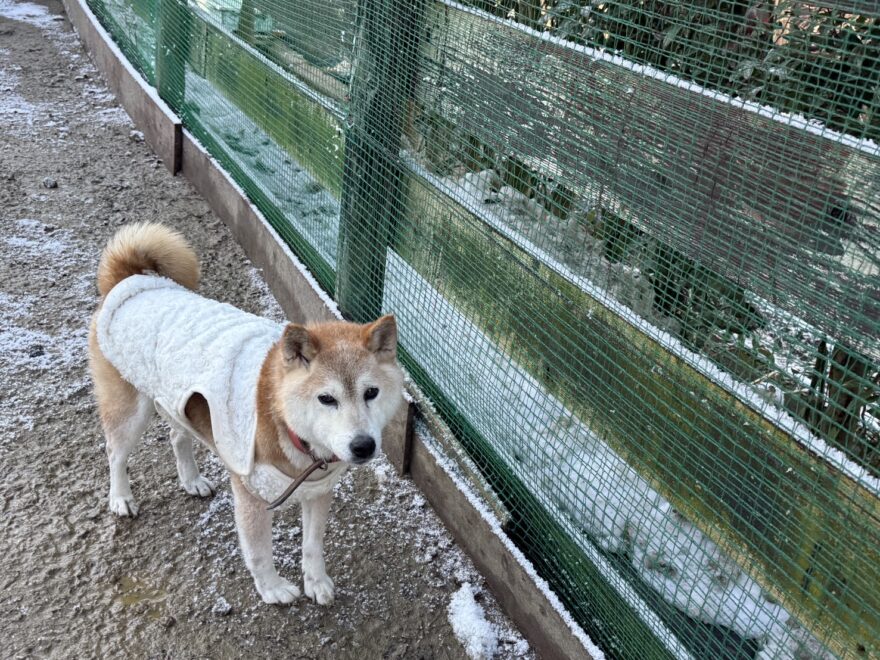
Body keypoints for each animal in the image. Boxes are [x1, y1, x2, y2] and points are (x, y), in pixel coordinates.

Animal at [88, 223, 404, 605]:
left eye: (371, 393)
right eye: (326, 399)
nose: (363, 446)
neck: (284, 422)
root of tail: (131, 280)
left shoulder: (318, 491)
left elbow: (313, 546)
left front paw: (316, 582)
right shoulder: (251, 494)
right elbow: (259, 552)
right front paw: (272, 588)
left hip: (175, 400)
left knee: (177, 437)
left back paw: (191, 479)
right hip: (130, 412)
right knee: (115, 454)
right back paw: (121, 498)